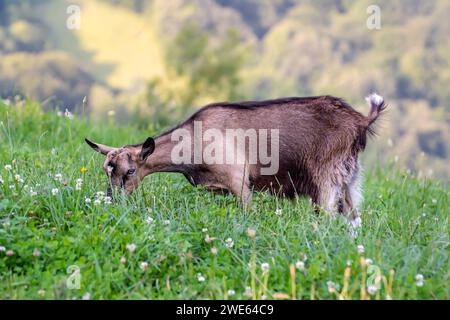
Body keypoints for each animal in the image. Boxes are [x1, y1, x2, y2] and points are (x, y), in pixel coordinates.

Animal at [86, 94, 384, 221]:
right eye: (106, 169)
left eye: (130, 171)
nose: (111, 201)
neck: (193, 140)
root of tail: (360, 121)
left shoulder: (239, 179)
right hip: (348, 179)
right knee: (353, 217)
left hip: (326, 179)